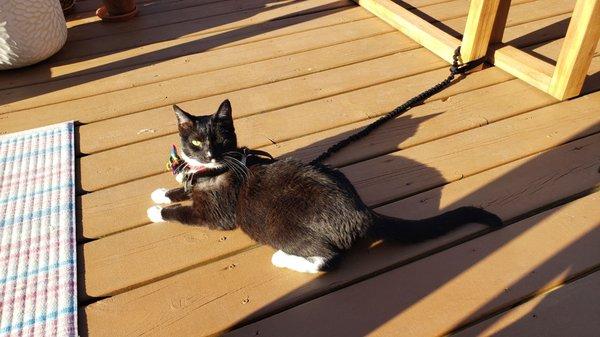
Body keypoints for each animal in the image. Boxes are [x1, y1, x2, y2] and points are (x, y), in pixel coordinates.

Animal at [148, 98, 504, 272]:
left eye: (221, 140)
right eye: (196, 142)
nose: (209, 154)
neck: (212, 170)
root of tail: (361, 212)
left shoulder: (216, 214)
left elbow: (183, 213)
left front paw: (157, 211)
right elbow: (183, 190)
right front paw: (162, 192)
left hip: (277, 225)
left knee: (328, 260)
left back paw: (284, 259)